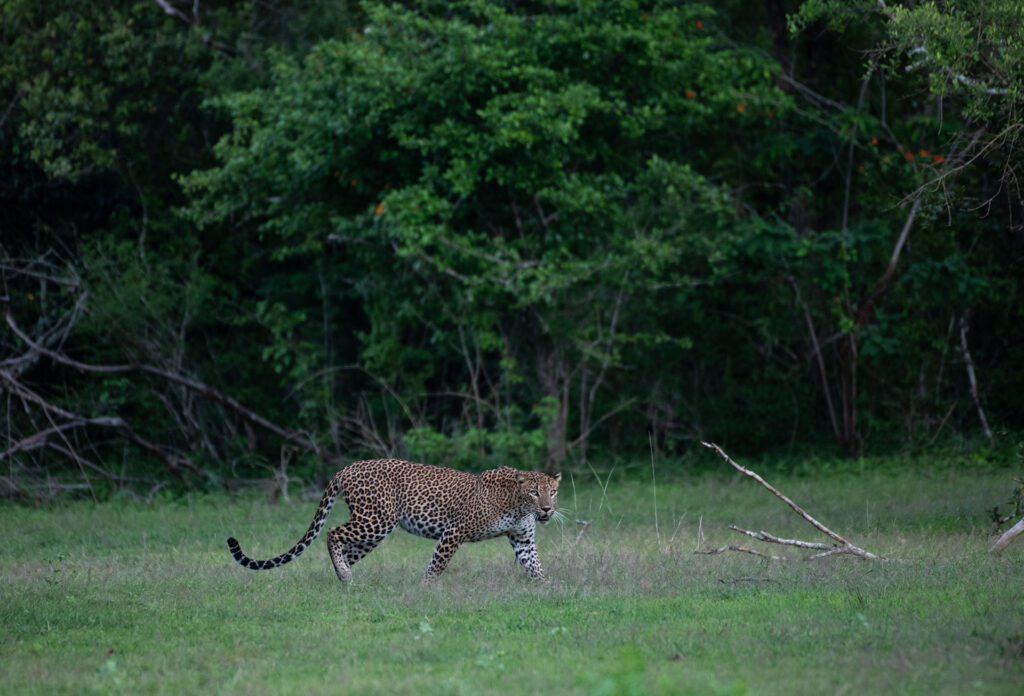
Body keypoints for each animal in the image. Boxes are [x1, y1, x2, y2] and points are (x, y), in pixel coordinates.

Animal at [226, 458, 561, 585]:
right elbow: (437, 564)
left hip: (372, 532)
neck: (517, 505)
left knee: (345, 549)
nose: (547, 510)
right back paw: (345, 576)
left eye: (553, 492)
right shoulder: (454, 531)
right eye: (535, 492)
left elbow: (535, 565)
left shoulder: (523, 539)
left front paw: (547, 590)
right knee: (332, 533)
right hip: (375, 519)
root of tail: (348, 467)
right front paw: (424, 588)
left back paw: (344, 579)